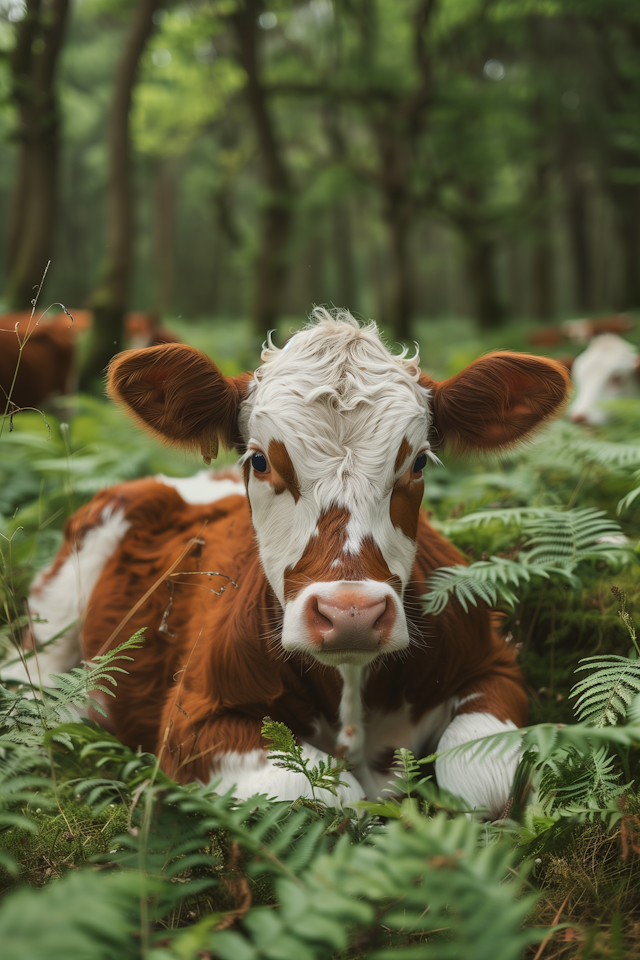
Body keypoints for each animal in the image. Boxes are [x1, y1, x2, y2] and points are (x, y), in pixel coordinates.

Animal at [0, 312, 568, 812]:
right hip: (57, 602)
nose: (351, 614)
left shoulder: (495, 667)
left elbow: (477, 778)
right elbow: (331, 794)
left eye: (419, 462)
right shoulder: (191, 721)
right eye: (260, 459)